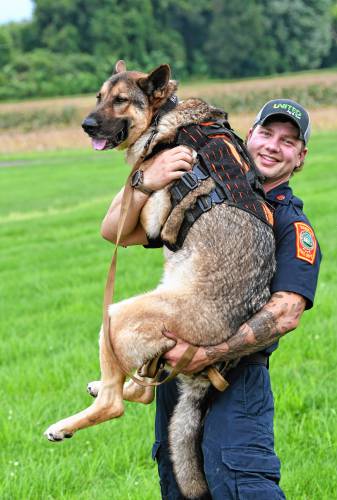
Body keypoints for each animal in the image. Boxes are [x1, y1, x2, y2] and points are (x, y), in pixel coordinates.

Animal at [44, 60, 274, 498]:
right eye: (99, 97)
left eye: (120, 100)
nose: (86, 125)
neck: (165, 117)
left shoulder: (154, 218)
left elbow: (149, 195)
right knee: (139, 389)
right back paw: (99, 387)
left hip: (116, 316)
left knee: (119, 402)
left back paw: (65, 425)